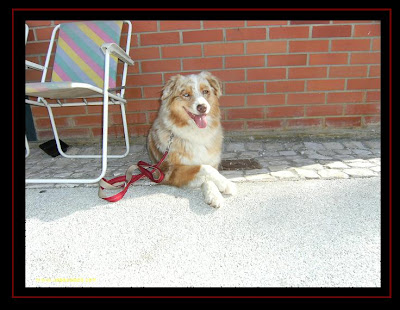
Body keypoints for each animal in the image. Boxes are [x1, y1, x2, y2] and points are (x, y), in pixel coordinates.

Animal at [149, 71, 238, 207]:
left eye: (205, 91)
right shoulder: (168, 172)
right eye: (186, 94)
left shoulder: (212, 161)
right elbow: (204, 169)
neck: (197, 133)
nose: (202, 107)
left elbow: (209, 171)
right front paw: (225, 184)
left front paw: (214, 194)